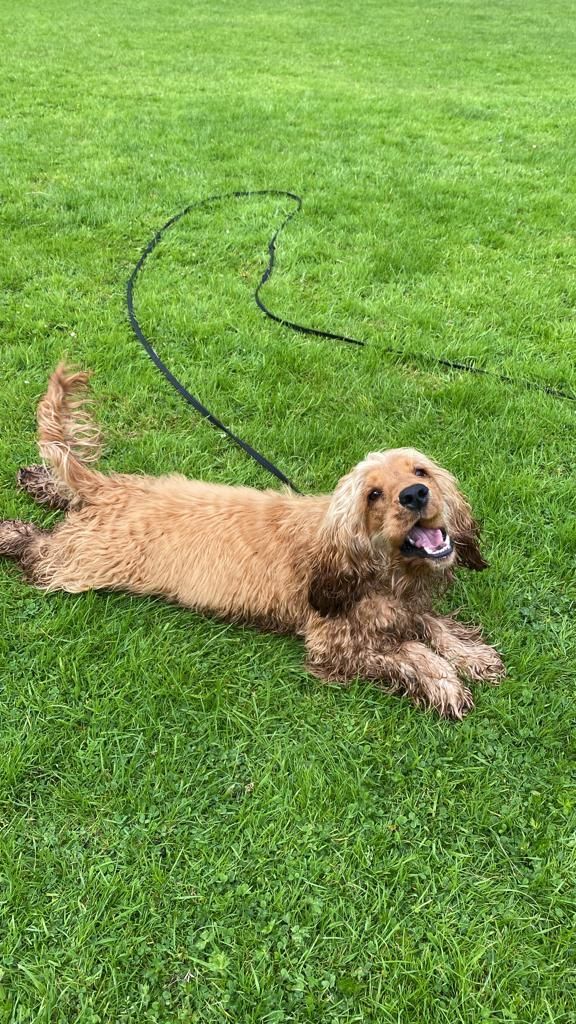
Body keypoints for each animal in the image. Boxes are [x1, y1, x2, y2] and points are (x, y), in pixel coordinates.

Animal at [0, 365, 504, 718]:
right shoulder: (336, 643)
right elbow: (413, 651)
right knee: (40, 550)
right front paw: (445, 684)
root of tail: (105, 489)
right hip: (81, 560)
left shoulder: (409, 608)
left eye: (420, 471)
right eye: (373, 494)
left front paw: (474, 657)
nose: (416, 494)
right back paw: (11, 531)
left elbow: (435, 627)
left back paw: (37, 480)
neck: (377, 568)